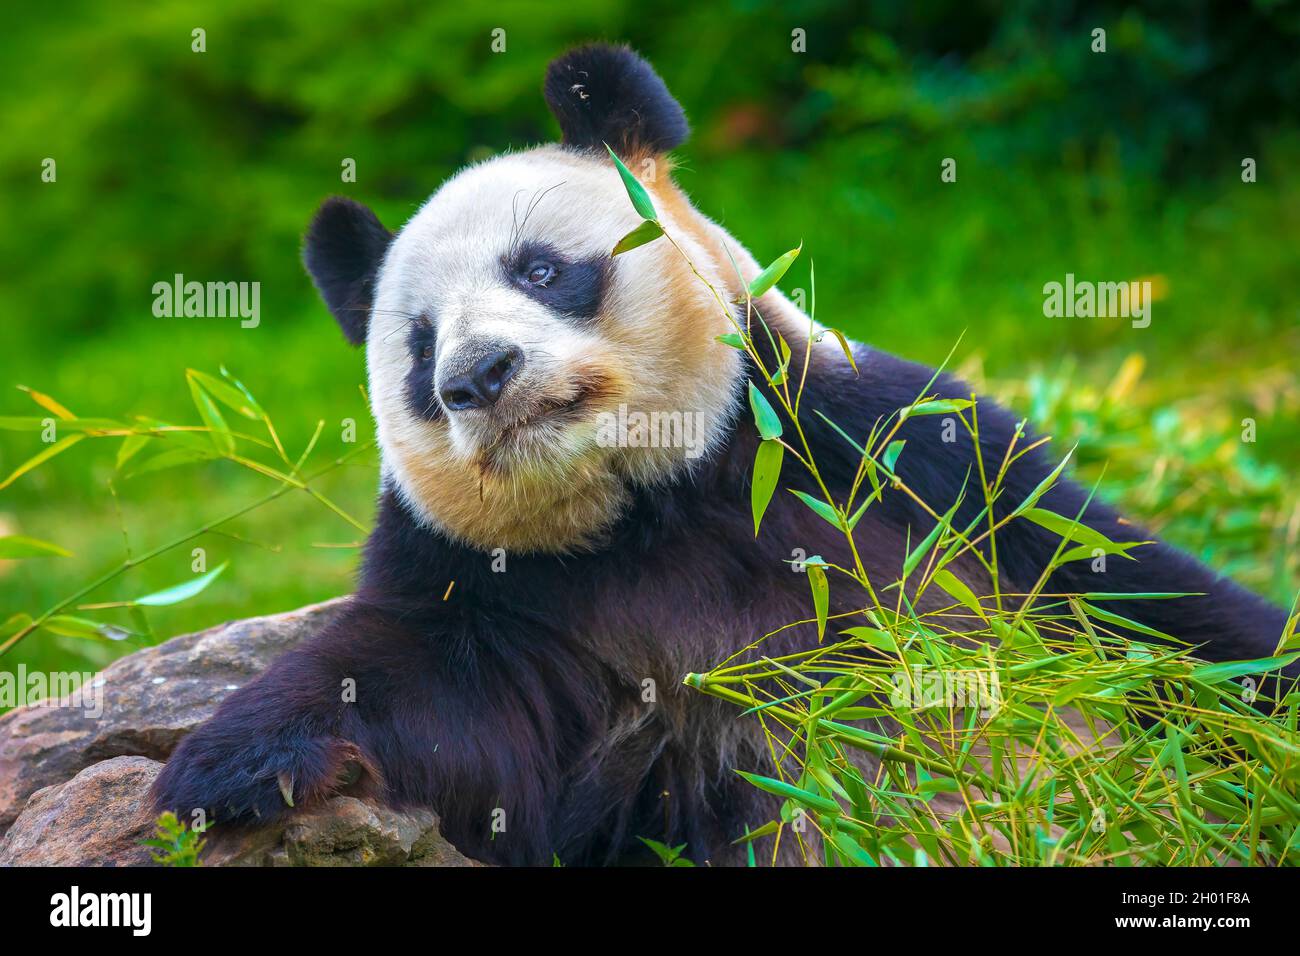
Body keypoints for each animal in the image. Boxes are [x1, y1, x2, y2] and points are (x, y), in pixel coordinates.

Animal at [152, 42, 1289, 868]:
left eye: (540, 268)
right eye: (420, 347)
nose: (478, 374)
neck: (655, 504)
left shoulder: (883, 453)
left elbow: (1128, 601)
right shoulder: (498, 589)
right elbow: (436, 710)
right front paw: (229, 769)